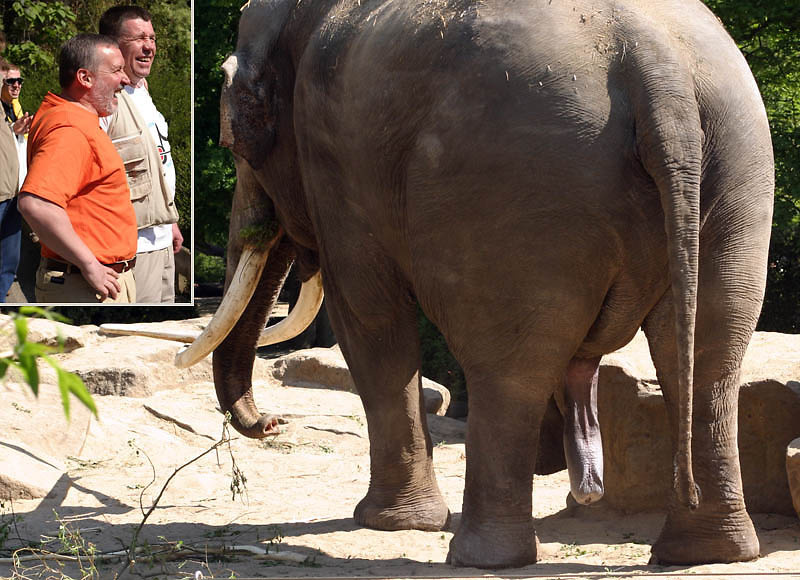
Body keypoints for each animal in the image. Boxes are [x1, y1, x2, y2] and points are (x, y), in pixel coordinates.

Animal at [181, 0, 774, 569]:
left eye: (236, 144)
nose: (273, 422)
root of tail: (658, 70)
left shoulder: (334, 165)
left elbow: (370, 319)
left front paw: (389, 523)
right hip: (736, 175)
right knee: (709, 355)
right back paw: (705, 553)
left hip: (518, 190)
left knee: (509, 370)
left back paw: (481, 557)